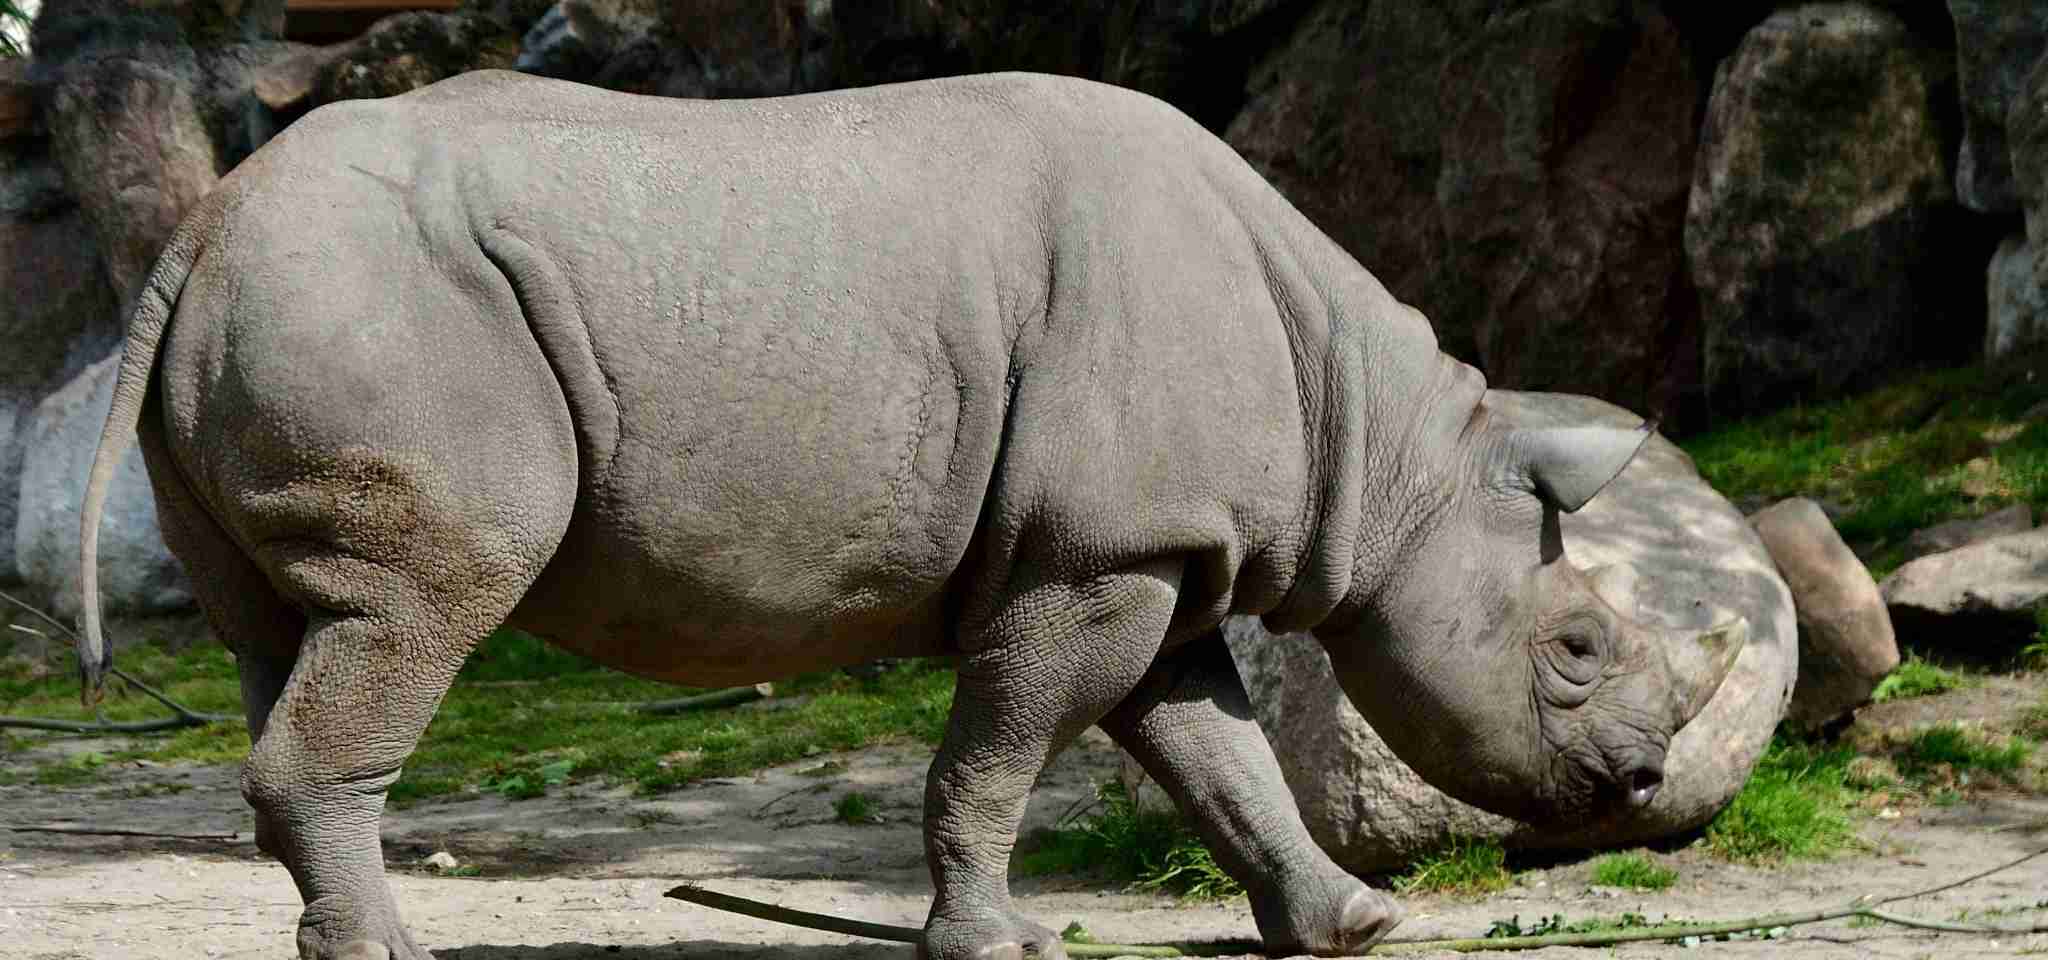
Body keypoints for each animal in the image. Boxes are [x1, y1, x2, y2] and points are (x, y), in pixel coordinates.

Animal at [78, 70, 1743, 960]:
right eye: (1578, 647)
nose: (1643, 783)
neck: (1387, 454)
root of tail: (205, 227)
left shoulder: (1155, 553)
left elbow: (1226, 763)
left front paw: (1354, 927)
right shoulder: (1096, 554)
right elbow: (997, 757)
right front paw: (1000, 944)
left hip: (292, 295)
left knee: (289, 634)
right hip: (378, 303)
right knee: (418, 609)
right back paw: (392, 951)